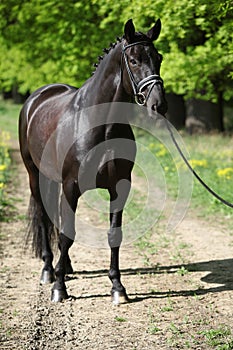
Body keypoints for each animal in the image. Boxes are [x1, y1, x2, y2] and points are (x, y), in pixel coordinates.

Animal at [18, 19, 167, 302]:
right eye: (133, 60)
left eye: (159, 58)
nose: (158, 105)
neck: (100, 125)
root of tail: (36, 98)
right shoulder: (71, 186)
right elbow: (68, 234)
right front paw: (59, 289)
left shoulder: (120, 187)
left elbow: (114, 235)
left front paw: (118, 288)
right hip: (34, 175)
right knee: (44, 218)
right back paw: (49, 270)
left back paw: (64, 267)